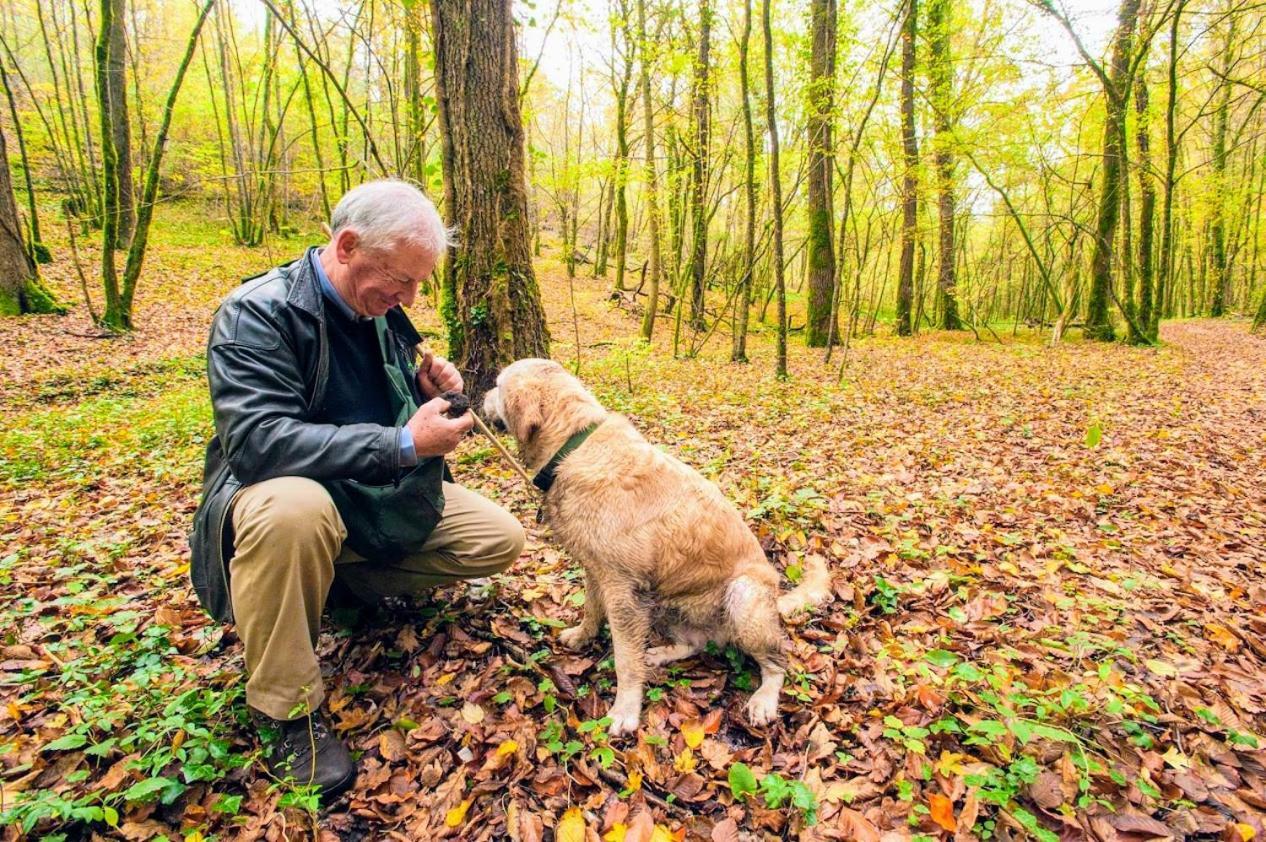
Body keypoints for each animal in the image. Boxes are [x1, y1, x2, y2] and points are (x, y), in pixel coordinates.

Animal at [476, 357, 830, 734]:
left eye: (497, 385)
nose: (477, 397)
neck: (572, 444)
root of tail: (775, 600)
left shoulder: (623, 590)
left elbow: (625, 661)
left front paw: (625, 711)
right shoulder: (597, 571)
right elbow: (591, 609)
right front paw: (583, 636)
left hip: (743, 597)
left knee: (778, 661)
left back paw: (764, 699)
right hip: (667, 602)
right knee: (696, 643)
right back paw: (664, 652)